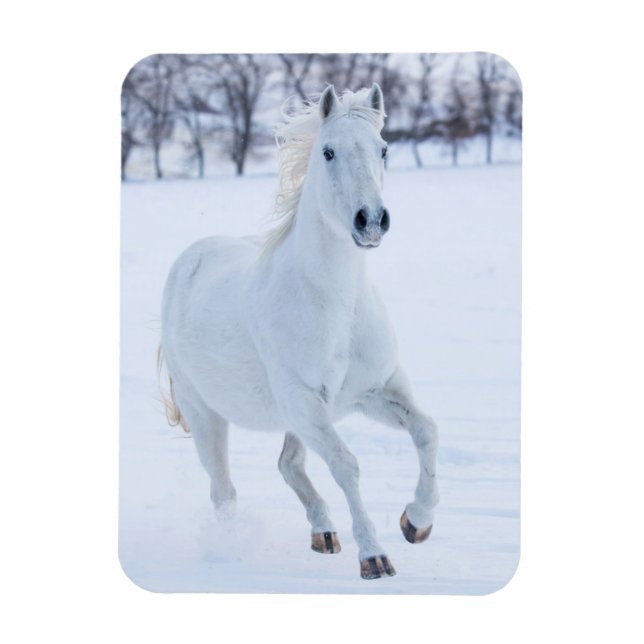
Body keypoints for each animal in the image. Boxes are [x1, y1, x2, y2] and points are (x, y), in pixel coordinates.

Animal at [159, 83, 439, 580]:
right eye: (328, 151)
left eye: (383, 148)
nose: (371, 220)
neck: (338, 307)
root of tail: (190, 258)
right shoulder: (307, 403)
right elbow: (346, 465)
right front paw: (374, 557)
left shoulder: (375, 392)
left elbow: (426, 431)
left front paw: (416, 522)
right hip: (206, 413)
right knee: (224, 492)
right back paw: (231, 551)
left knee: (288, 465)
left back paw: (324, 533)